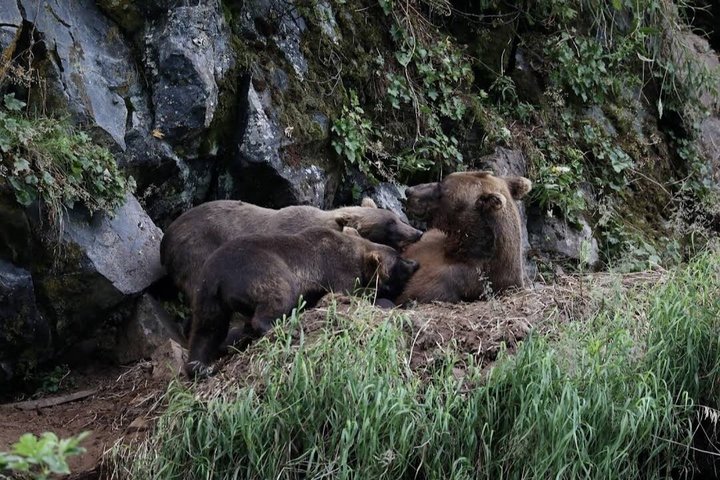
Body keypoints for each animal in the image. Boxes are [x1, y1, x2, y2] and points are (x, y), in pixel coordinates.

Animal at [185, 227, 419, 377]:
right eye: (399, 259)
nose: (415, 263)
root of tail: (218, 277)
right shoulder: (337, 270)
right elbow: (348, 294)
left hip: (206, 295)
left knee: (207, 330)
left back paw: (200, 366)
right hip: (259, 269)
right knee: (279, 294)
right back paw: (282, 328)